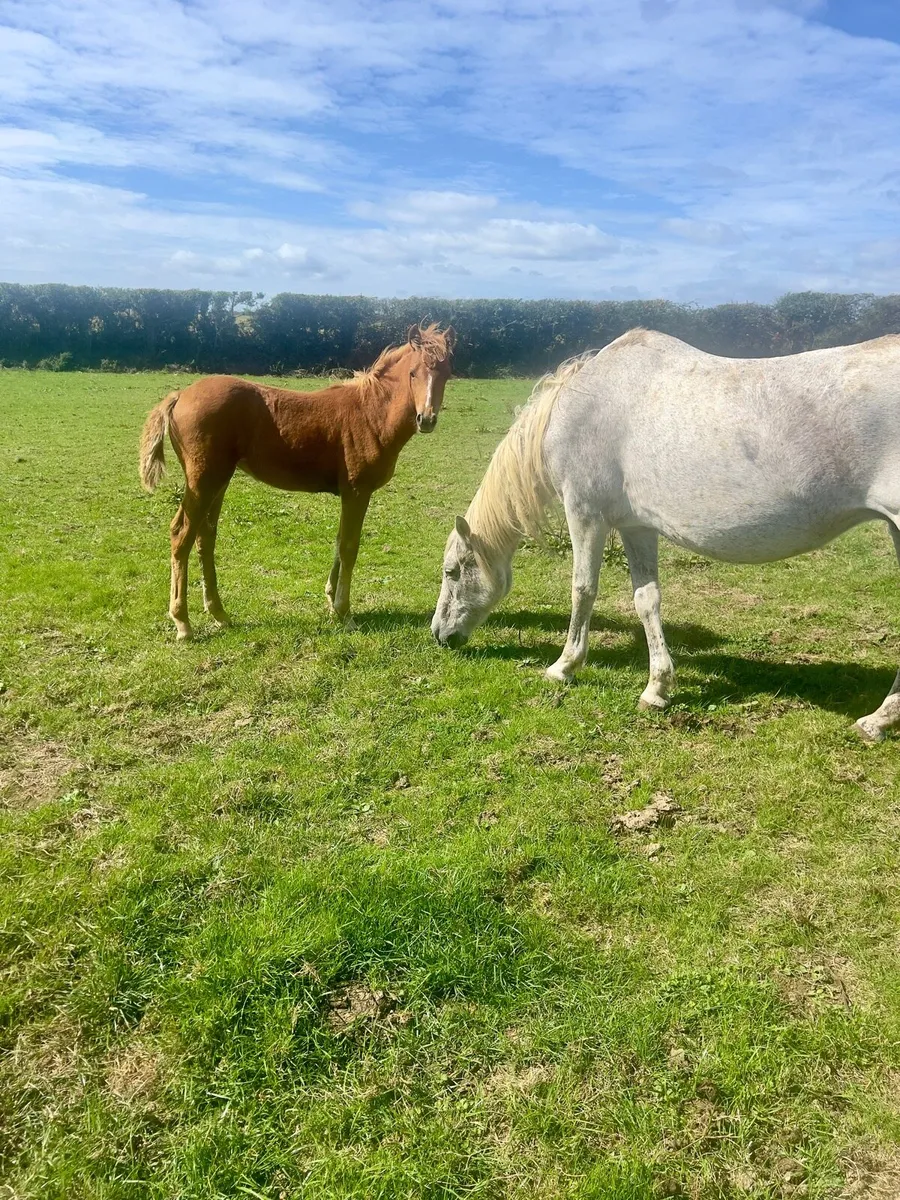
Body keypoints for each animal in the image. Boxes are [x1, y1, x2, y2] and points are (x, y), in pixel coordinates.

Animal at [139, 322, 455, 639]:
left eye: (446, 373)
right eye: (413, 373)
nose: (426, 419)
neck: (371, 413)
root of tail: (180, 395)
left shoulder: (348, 493)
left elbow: (339, 541)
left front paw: (331, 601)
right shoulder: (357, 491)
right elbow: (349, 546)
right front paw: (345, 613)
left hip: (219, 481)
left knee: (205, 537)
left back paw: (219, 614)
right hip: (203, 480)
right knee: (182, 534)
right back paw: (183, 622)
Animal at [431, 328, 900, 742]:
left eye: (453, 571)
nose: (439, 634)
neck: (580, 405)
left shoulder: (585, 513)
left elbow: (583, 590)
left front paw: (563, 667)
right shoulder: (637, 526)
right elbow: (646, 600)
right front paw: (656, 689)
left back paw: (876, 721)